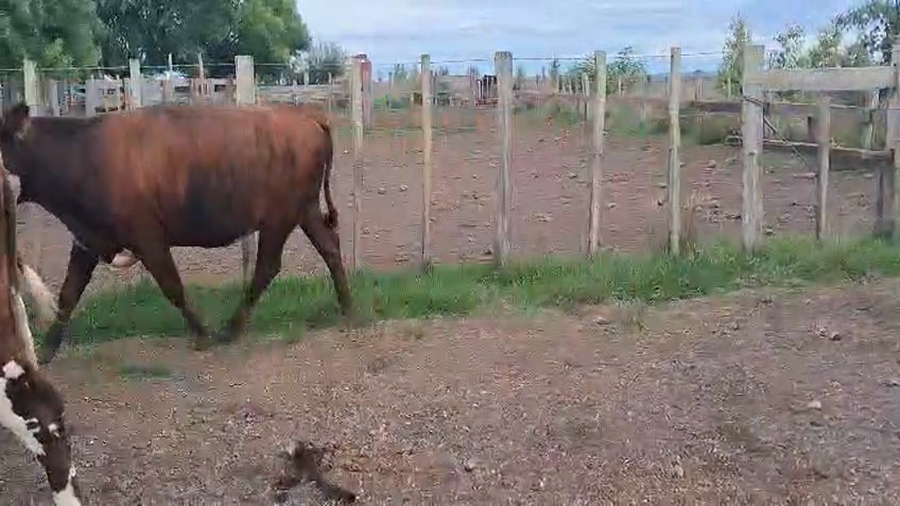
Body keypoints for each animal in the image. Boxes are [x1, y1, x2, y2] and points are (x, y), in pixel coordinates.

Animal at [0, 102, 353, 364]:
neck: (82, 153)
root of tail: (306, 116)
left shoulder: (148, 239)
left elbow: (173, 286)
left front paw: (202, 333)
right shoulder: (87, 241)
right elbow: (68, 294)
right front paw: (46, 351)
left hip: (279, 218)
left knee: (268, 267)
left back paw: (231, 329)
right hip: (304, 211)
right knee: (329, 248)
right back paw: (346, 306)